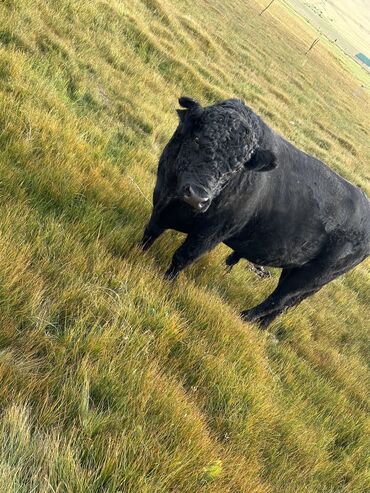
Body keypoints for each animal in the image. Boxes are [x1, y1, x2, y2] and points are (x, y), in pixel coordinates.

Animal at [141, 97, 370, 326]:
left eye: (237, 168)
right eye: (197, 139)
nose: (198, 197)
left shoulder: (210, 233)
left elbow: (182, 257)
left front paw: (166, 281)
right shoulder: (160, 203)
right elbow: (150, 233)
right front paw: (138, 252)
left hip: (312, 276)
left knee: (279, 299)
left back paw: (245, 317)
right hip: (297, 270)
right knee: (283, 305)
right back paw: (262, 326)